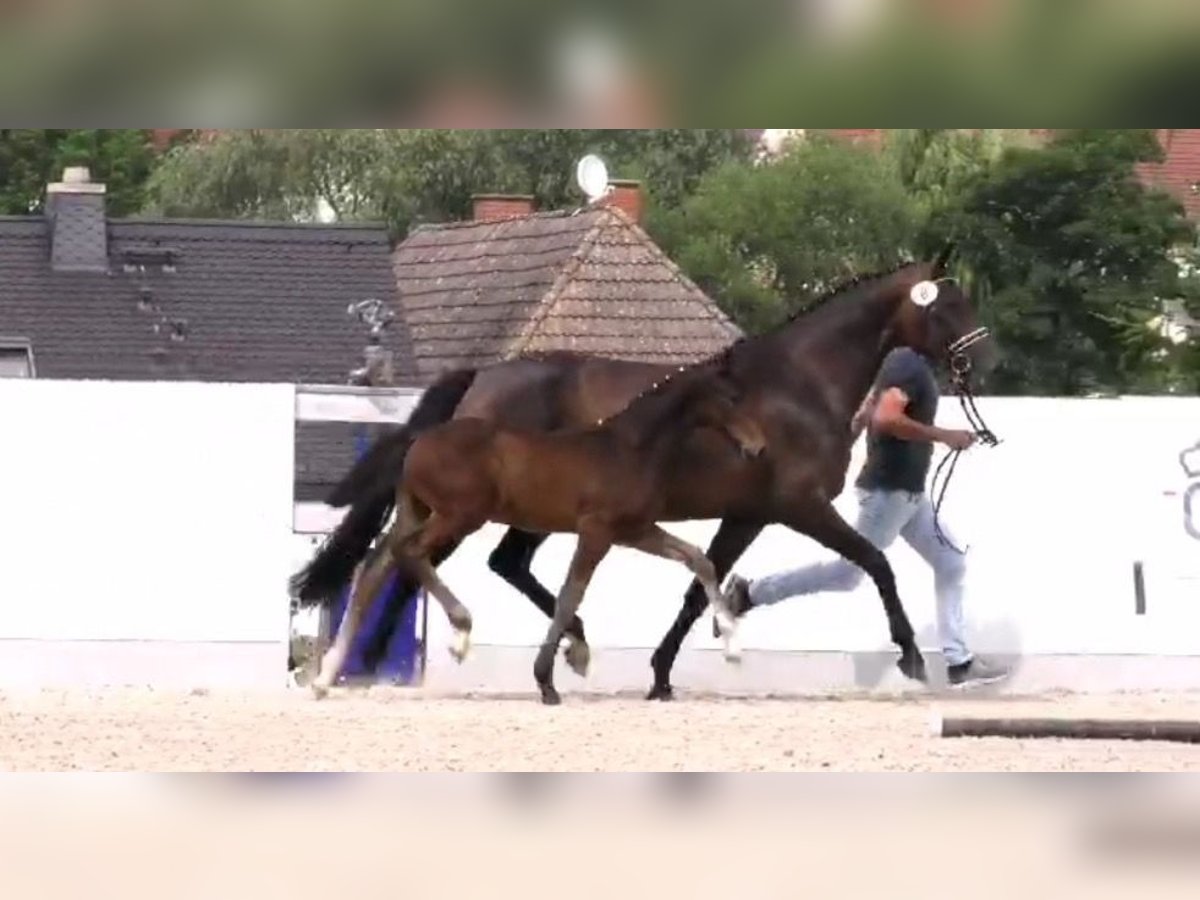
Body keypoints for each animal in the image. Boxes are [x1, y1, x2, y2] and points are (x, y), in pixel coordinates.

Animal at [290, 244, 993, 696]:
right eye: (945, 305)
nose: (982, 360)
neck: (801, 385)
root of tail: (481, 378)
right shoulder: (797, 506)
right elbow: (876, 564)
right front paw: (913, 657)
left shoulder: (746, 514)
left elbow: (698, 586)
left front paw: (663, 674)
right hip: (476, 510)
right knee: (414, 563)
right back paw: (380, 664)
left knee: (479, 563)